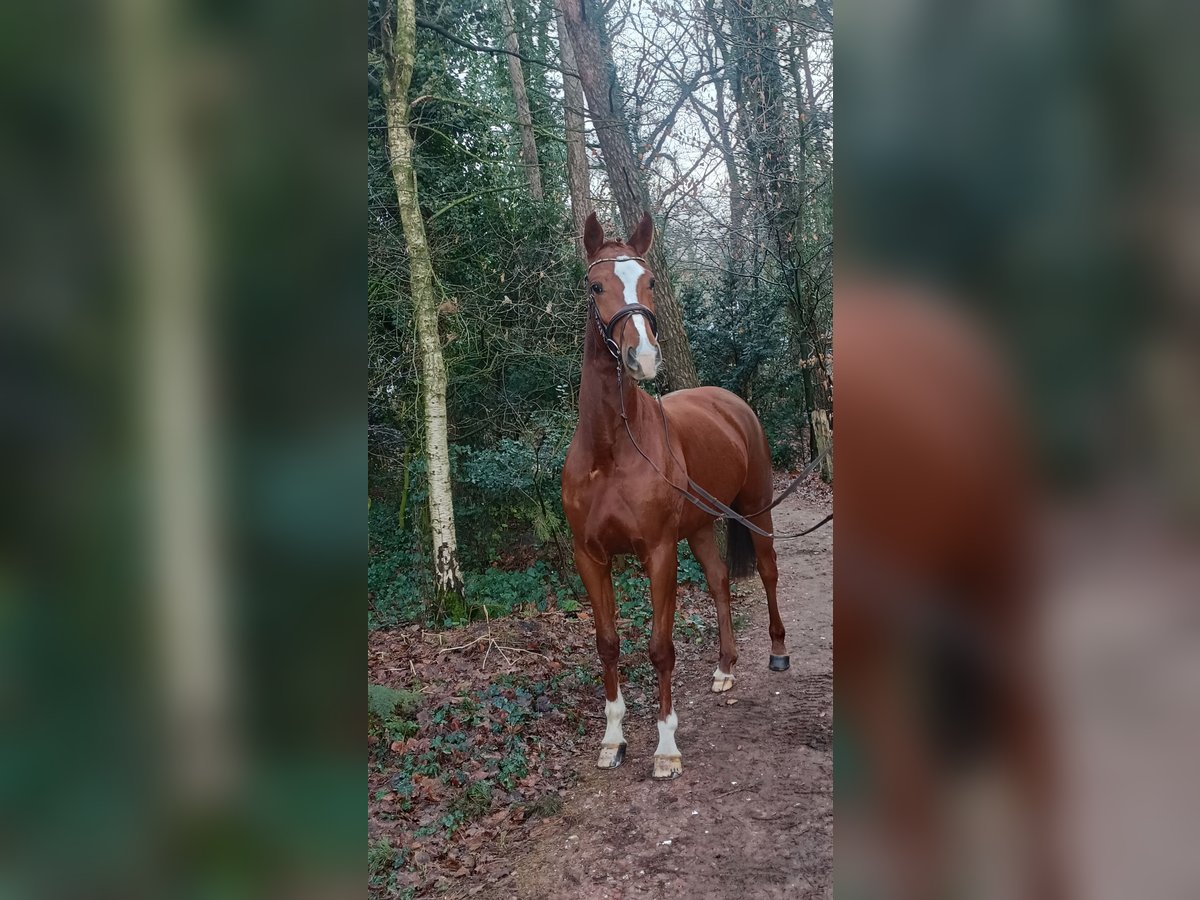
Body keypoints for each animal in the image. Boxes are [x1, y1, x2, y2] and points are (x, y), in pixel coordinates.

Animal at [561, 213, 787, 782]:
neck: (610, 450)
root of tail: (730, 401)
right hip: (703, 527)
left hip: (756, 510)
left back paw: (778, 652)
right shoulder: (590, 558)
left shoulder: (658, 553)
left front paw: (665, 746)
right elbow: (608, 644)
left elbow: (661, 648)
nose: (643, 357)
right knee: (721, 582)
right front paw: (613, 740)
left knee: (768, 572)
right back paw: (725, 668)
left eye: (649, 281)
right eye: (596, 286)